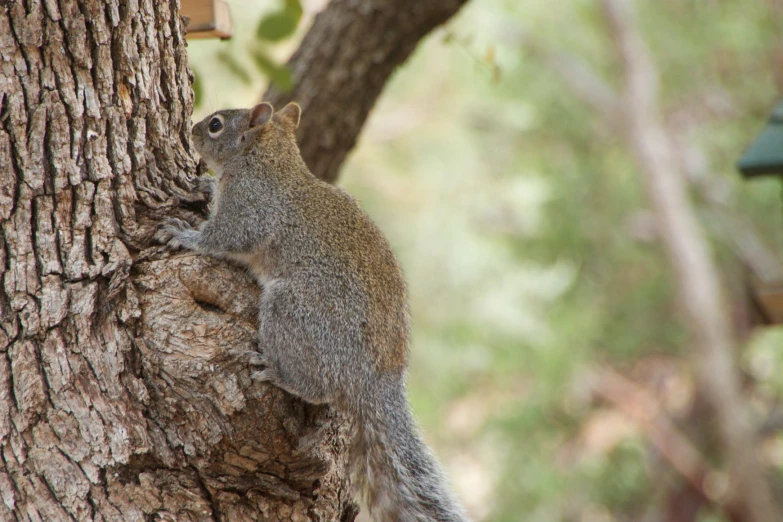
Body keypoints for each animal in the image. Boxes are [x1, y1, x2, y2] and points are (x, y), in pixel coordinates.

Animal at [156, 102, 468, 520]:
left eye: (216, 124)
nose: (191, 129)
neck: (267, 159)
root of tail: (375, 380)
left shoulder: (250, 208)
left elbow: (225, 238)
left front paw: (183, 233)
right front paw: (204, 185)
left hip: (295, 314)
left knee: (320, 389)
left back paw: (278, 373)